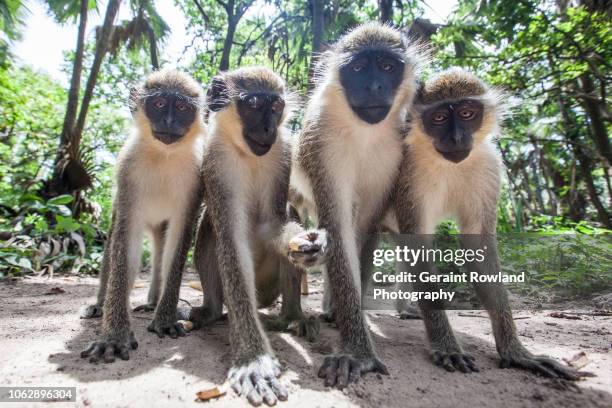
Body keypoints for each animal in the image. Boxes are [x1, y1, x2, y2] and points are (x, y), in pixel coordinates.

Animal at [80, 70, 206, 364]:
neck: (164, 154)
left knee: (161, 251)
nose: (169, 122)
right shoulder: (127, 170)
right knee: (112, 246)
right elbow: (124, 244)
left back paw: (152, 303)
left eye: (181, 107)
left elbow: (178, 241)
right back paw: (101, 305)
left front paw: (165, 319)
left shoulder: (195, 178)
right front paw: (114, 336)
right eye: (159, 104)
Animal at [290, 23, 420, 388]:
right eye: (359, 68)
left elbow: (363, 231)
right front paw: (357, 352)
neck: (364, 132)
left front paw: (351, 325)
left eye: (387, 66)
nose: (374, 86)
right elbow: (338, 229)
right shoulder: (322, 147)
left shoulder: (395, 152)